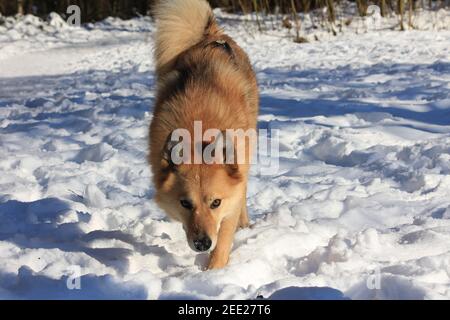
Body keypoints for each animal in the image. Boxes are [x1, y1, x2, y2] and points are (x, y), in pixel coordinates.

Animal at [149, 0, 258, 270]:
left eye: (215, 203)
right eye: (185, 203)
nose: (201, 244)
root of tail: (211, 36)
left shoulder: (229, 201)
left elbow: (224, 237)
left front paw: (213, 272)